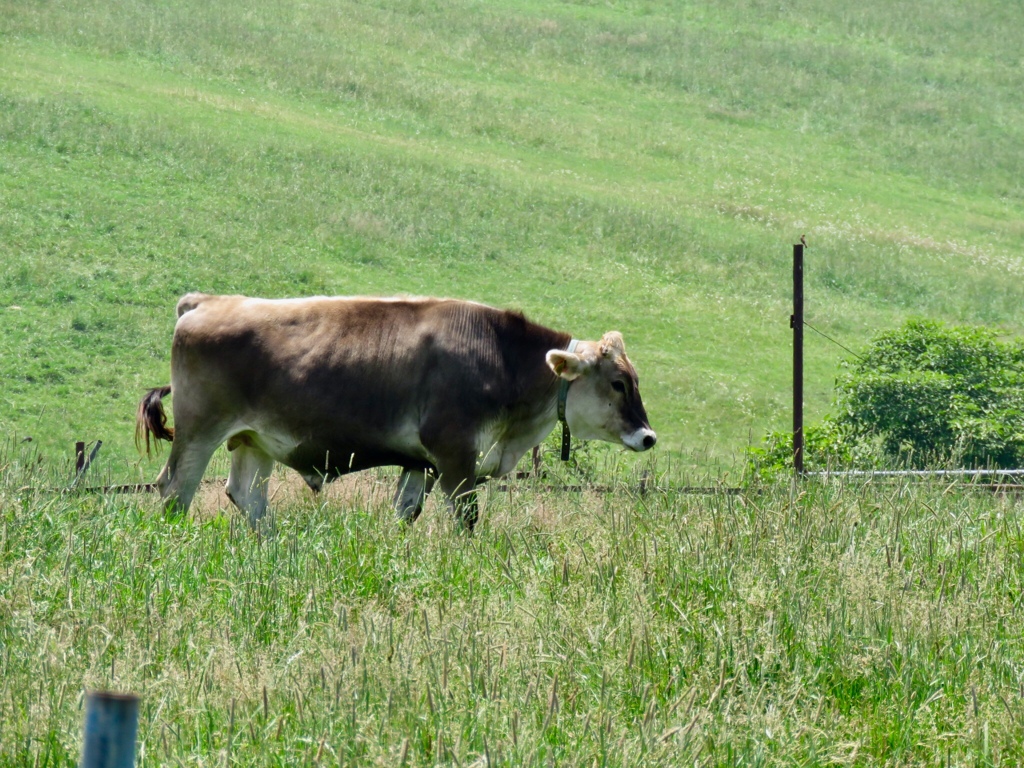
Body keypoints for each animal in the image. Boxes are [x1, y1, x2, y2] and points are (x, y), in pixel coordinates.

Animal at [136, 290, 655, 532]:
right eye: (617, 382)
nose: (648, 436)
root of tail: (206, 301)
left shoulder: (419, 464)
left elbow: (406, 512)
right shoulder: (455, 457)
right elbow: (466, 518)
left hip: (253, 440)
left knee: (247, 496)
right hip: (199, 432)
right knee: (175, 490)